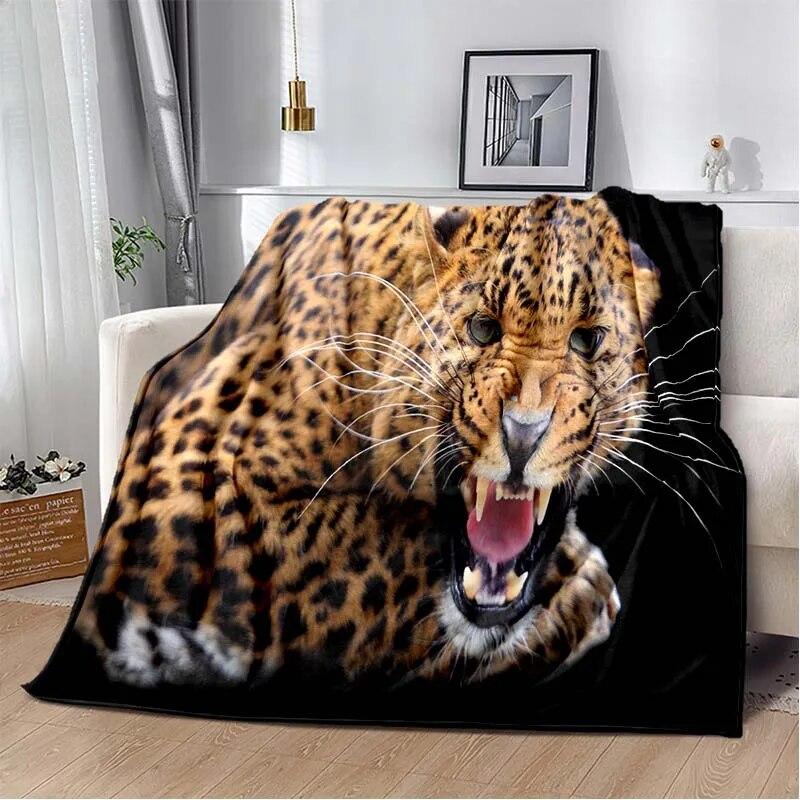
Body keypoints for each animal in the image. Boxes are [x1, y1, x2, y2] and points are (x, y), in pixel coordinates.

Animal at [75, 193, 660, 690]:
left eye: (587, 340)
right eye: (482, 329)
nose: (523, 432)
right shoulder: (198, 468)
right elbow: (359, 540)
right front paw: (577, 589)